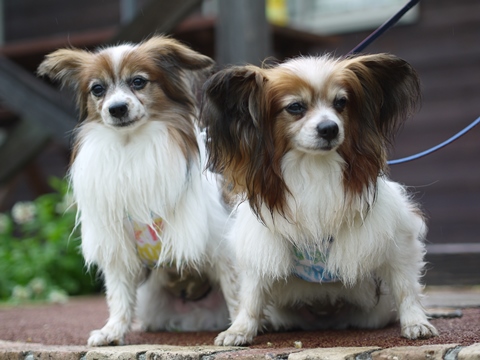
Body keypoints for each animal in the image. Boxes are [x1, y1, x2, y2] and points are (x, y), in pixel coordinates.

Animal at [38, 35, 237, 346]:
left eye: (139, 82)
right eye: (97, 89)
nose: (117, 108)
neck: (131, 149)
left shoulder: (220, 243)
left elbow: (236, 291)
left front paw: (240, 329)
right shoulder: (118, 245)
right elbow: (119, 295)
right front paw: (112, 331)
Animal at [202, 53, 438, 346]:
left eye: (341, 103)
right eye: (295, 107)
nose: (329, 128)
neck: (314, 166)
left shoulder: (397, 238)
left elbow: (406, 287)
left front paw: (416, 323)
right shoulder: (261, 244)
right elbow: (251, 295)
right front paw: (241, 329)